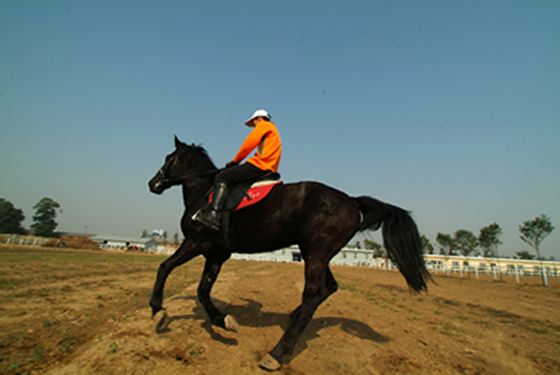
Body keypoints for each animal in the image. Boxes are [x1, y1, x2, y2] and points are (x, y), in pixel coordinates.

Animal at [148, 137, 428, 372]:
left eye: (169, 159)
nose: (153, 184)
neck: (204, 191)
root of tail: (351, 200)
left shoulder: (196, 243)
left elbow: (165, 268)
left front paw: (158, 311)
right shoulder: (216, 254)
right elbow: (202, 291)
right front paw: (223, 320)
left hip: (315, 254)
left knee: (312, 295)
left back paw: (277, 352)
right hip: (317, 253)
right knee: (328, 288)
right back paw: (292, 317)